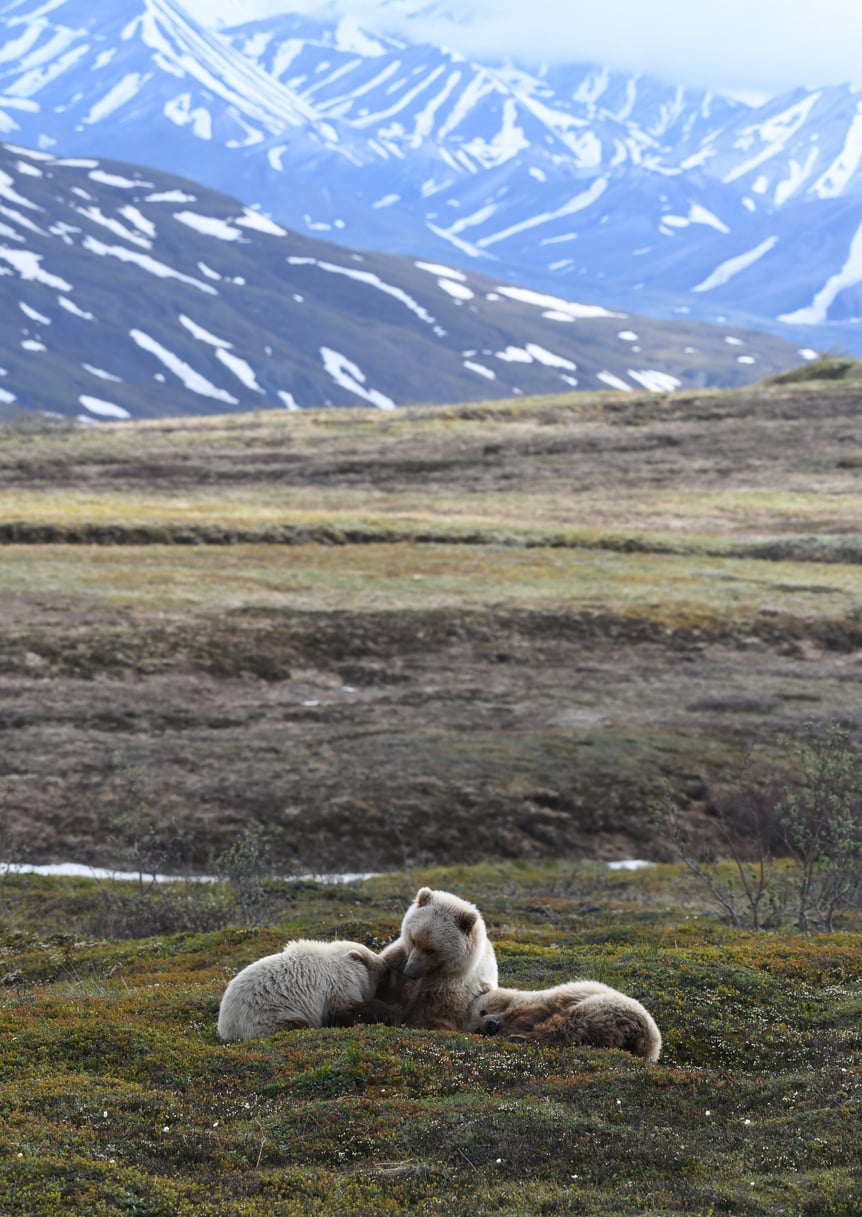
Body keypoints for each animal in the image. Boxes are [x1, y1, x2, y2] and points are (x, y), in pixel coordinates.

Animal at [217, 938, 396, 1041]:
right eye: (384, 974)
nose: (387, 965)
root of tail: (225, 1028)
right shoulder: (336, 986)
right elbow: (346, 1010)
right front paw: (390, 1011)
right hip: (268, 1016)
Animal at [380, 886, 498, 1031]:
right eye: (413, 940)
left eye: (431, 950)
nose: (409, 972)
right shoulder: (399, 958)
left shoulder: (449, 988)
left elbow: (431, 1015)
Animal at [467, 980, 662, 1063]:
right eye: (477, 1029)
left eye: (483, 1011)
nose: (489, 1025)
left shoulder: (538, 1003)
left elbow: (530, 1015)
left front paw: (510, 1031)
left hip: (603, 1008)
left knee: (565, 1025)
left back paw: (518, 1038)